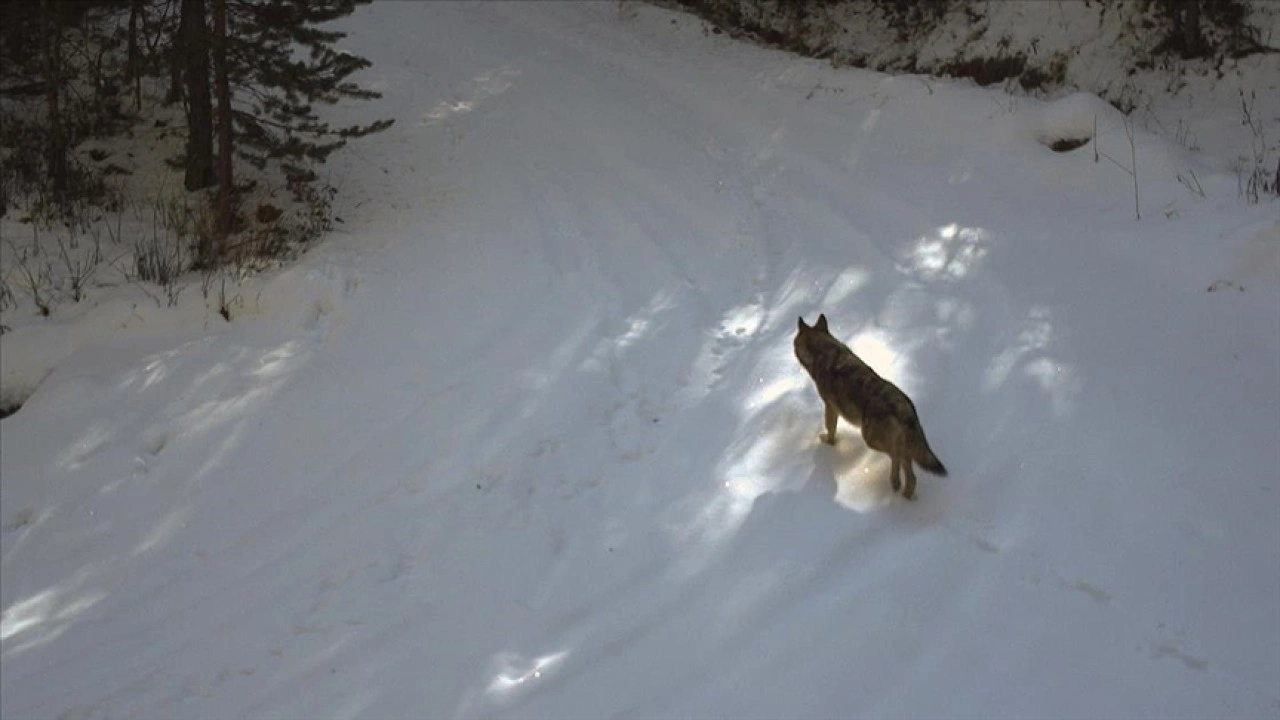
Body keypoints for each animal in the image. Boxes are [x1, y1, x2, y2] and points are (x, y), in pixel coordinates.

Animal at [793, 313, 947, 499]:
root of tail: (902, 405)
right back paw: (905, 497)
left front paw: (828, 443)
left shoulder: (830, 407)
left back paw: (895, 483)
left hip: (869, 439)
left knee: (896, 457)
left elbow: (830, 430)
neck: (824, 351)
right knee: (910, 475)